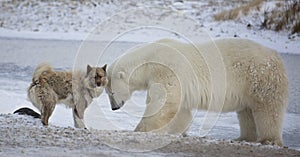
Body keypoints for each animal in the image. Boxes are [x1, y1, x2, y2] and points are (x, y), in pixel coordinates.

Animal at [106, 38, 288, 147]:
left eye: (111, 93)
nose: (114, 108)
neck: (149, 59)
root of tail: (276, 56)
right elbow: (181, 111)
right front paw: (178, 131)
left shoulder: (167, 69)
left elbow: (163, 102)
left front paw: (140, 130)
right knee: (247, 112)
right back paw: (243, 137)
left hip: (259, 78)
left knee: (267, 110)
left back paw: (268, 140)